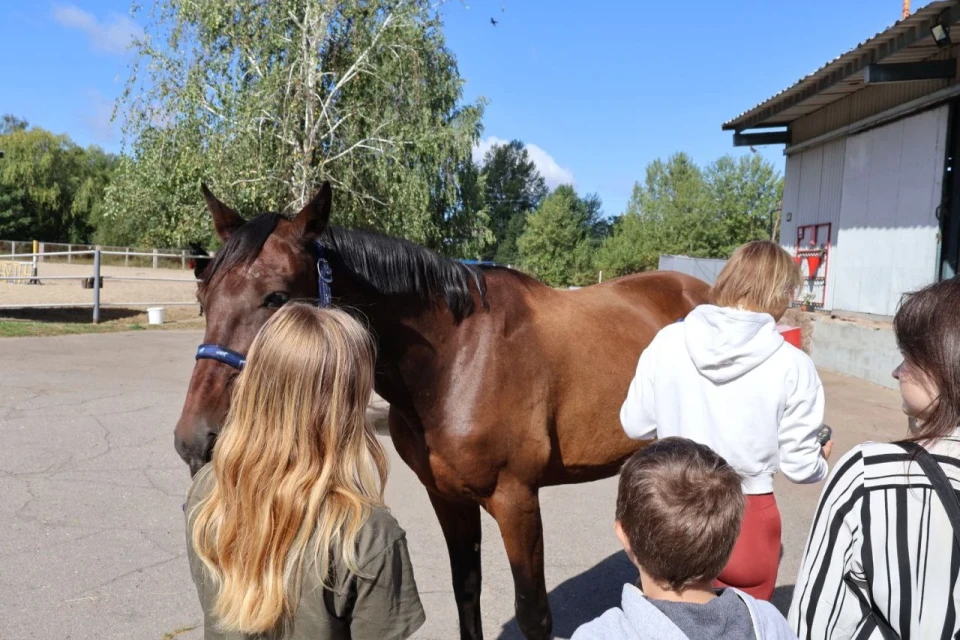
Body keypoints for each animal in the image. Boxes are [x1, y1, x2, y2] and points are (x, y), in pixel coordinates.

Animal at [174, 182, 712, 636]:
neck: (456, 358)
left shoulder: (516, 500)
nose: (194, 440)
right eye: (202, 295)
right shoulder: (448, 498)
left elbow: (533, 613)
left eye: (277, 297)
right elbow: (465, 591)